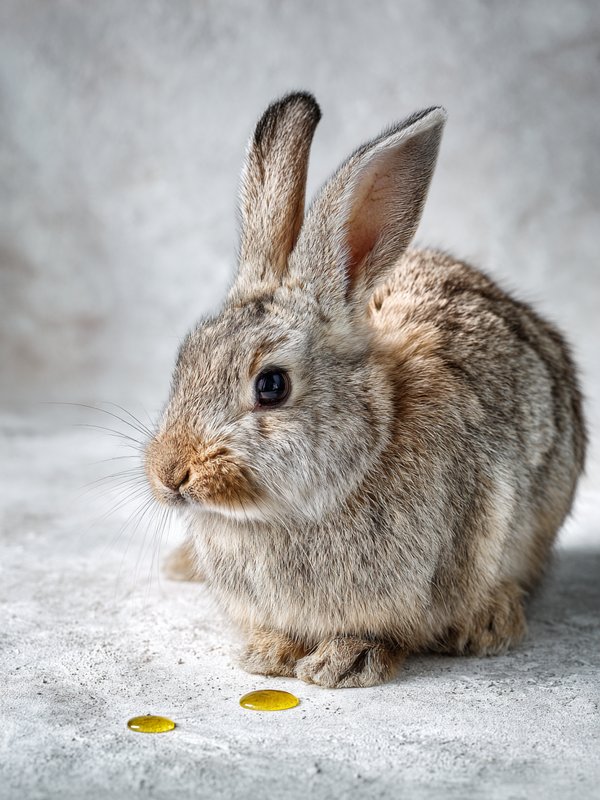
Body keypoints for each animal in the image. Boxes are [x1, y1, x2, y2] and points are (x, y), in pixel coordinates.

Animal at [145, 92, 586, 688]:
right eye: (185, 357)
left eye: (272, 385)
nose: (170, 474)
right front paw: (269, 652)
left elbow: (384, 632)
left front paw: (343, 662)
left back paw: (489, 624)